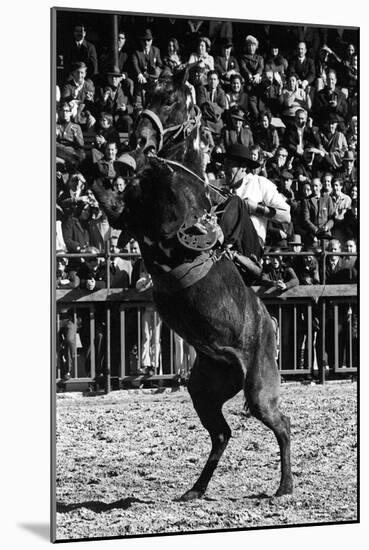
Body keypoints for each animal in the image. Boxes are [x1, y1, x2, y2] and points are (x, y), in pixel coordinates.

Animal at [92, 71, 294, 502]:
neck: (175, 179)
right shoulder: (123, 218)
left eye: (172, 100)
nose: (138, 141)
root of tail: (267, 319)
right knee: (221, 434)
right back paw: (195, 490)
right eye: (150, 94)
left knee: (281, 424)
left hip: (260, 387)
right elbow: (105, 192)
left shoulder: (170, 234)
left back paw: (284, 487)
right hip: (203, 388)